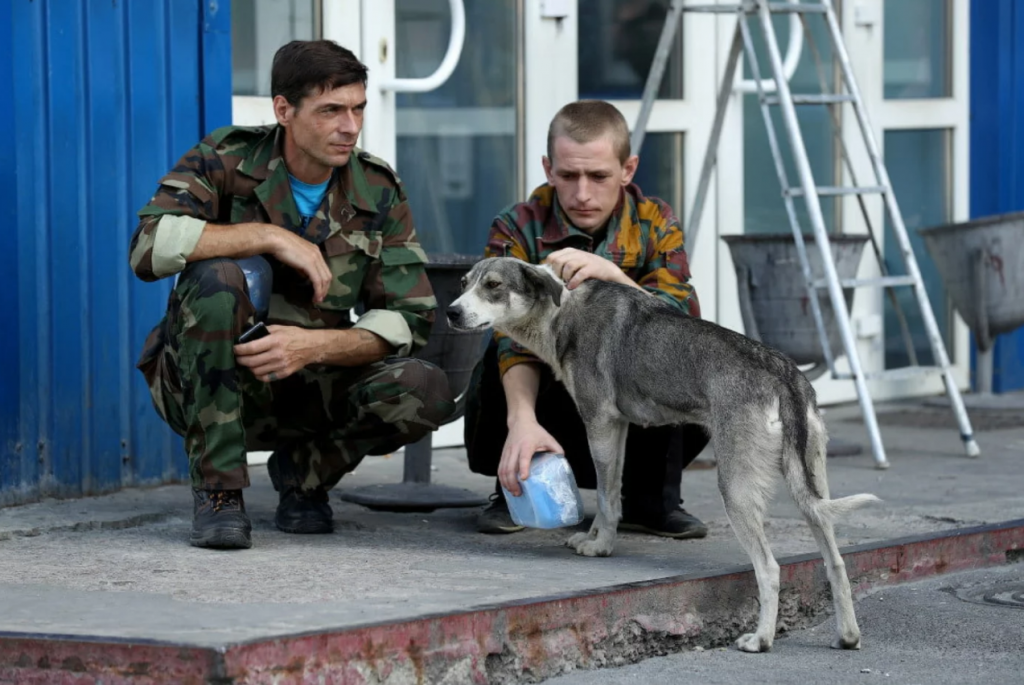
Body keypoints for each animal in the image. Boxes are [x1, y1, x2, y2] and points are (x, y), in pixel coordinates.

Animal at [448, 254, 880, 651]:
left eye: (493, 285)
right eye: (464, 282)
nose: (451, 312)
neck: (561, 307)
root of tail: (784, 375)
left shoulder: (599, 423)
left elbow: (605, 497)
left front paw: (601, 546)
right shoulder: (618, 428)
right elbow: (611, 492)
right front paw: (592, 536)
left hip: (737, 489)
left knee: (770, 568)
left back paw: (760, 639)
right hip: (811, 488)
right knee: (836, 562)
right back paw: (847, 635)